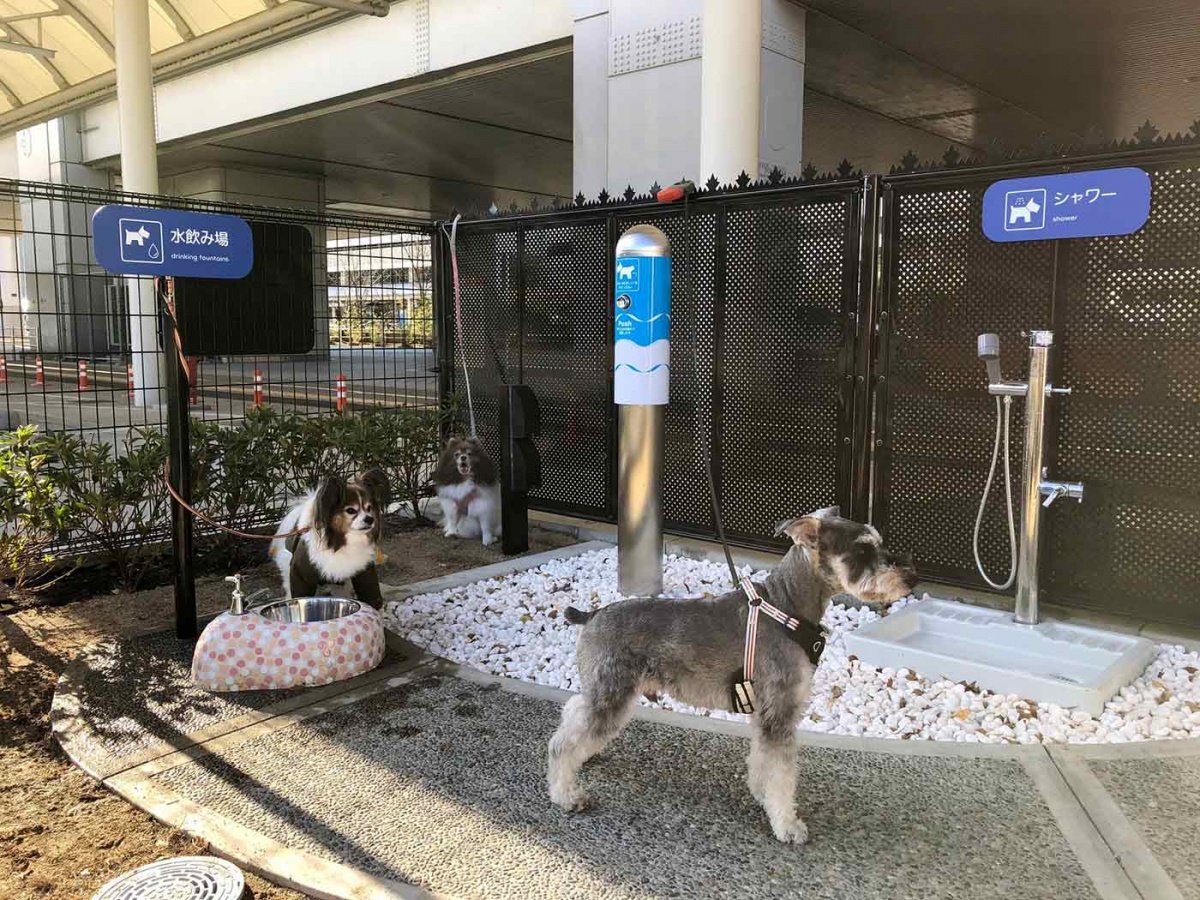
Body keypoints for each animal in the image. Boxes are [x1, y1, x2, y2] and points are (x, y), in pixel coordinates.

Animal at [271, 468, 388, 609]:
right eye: (351, 510)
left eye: (369, 508)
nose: (370, 519)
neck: (343, 542)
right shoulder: (301, 572)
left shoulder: (363, 570)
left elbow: (369, 590)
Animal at [547, 508, 916, 844]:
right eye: (862, 550)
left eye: (877, 542)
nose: (911, 579)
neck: (788, 604)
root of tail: (591, 615)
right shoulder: (780, 712)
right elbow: (783, 773)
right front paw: (788, 826)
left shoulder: (765, 712)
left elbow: (763, 759)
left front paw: (762, 794)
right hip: (612, 694)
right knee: (561, 745)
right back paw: (567, 795)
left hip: (605, 691)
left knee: (574, 710)